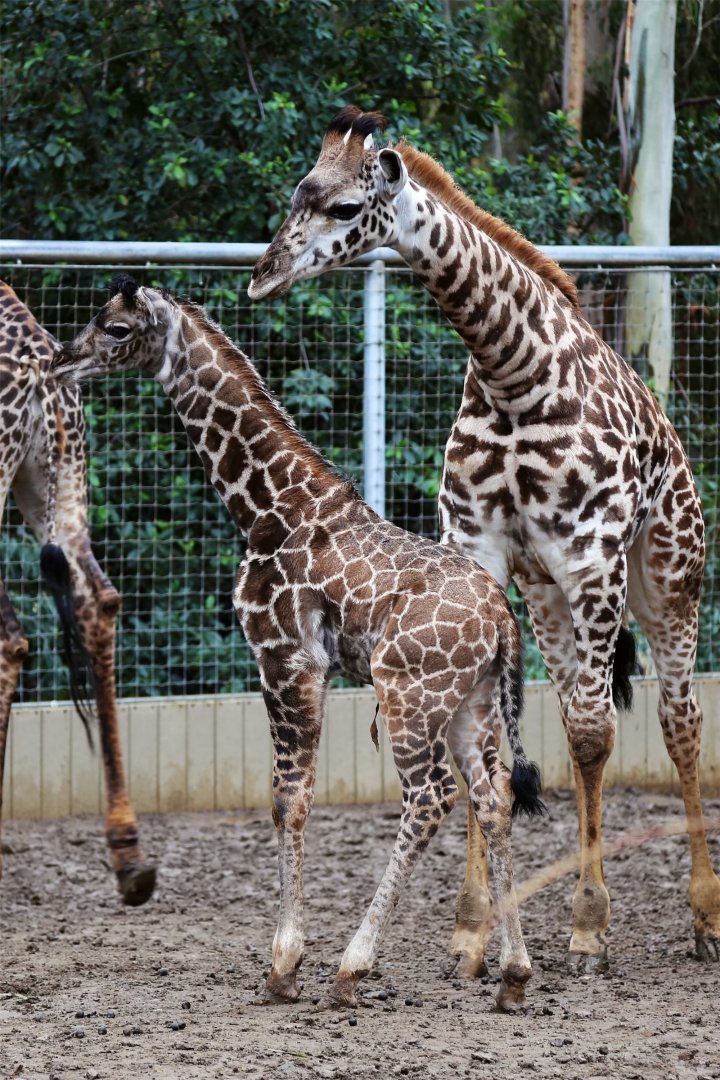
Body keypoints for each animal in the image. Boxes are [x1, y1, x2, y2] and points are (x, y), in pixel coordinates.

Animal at [53, 274, 546, 1009]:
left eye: (114, 329)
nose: (62, 360)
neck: (264, 508)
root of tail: (503, 622)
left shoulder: (285, 658)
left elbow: (288, 800)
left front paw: (284, 964)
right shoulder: (309, 669)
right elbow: (297, 798)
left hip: (410, 693)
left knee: (432, 797)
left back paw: (353, 968)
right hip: (470, 703)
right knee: (492, 800)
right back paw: (512, 975)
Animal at [248, 105, 720, 971]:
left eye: (342, 206)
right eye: (298, 192)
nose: (263, 275)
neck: (511, 371)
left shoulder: (593, 557)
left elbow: (597, 732)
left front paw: (589, 926)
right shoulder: (483, 553)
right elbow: (495, 744)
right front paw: (471, 930)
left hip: (667, 574)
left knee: (675, 720)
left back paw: (703, 916)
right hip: (548, 595)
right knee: (574, 716)